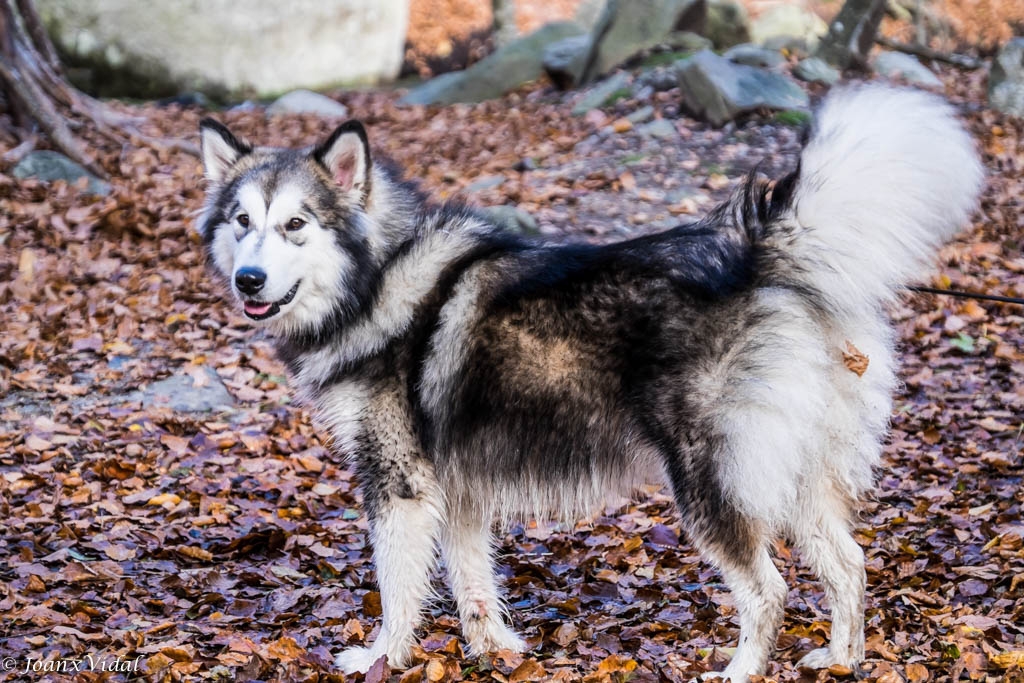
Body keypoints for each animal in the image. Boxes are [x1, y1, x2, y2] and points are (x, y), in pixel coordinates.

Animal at [197, 87, 983, 683]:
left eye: (296, 224)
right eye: (242, 221)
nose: (249, 280)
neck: (376, 278)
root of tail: (757, 254)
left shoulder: (400, 486)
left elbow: (398, 590)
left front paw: (380, 659)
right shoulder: (459, 490)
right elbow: (472, 583)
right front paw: (495, 651)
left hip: (710, 484)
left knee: (769, 589)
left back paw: (740, 671)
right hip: (793, 476)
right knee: (848, 565)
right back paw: (843, 658)